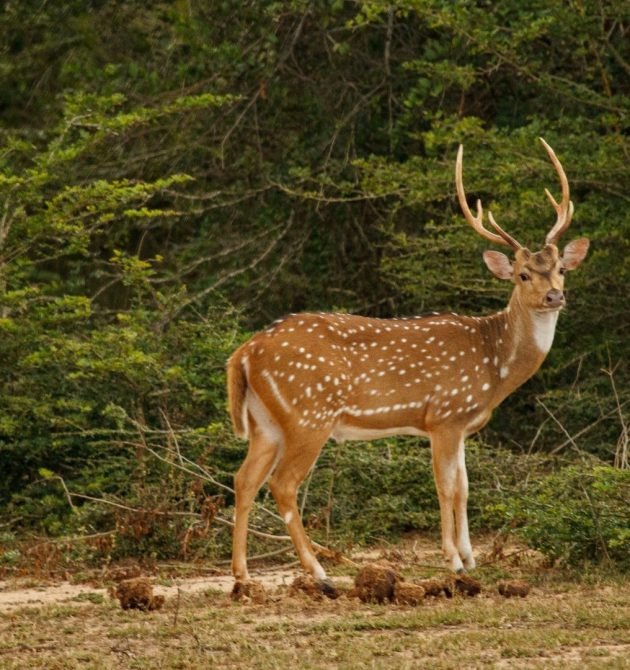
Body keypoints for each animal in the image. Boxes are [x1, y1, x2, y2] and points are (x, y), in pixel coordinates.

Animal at [226, 138, 589, 594]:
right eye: (523, 275)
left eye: (559, 269)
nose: (554, 296)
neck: (494, 365)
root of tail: (244, 353)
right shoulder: (444, 415)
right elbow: (446, 486)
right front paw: (454, 561)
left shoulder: (463, 424)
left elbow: (465, 486)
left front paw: (471, 557)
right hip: (309, 414)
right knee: (283, 484)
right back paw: (320, 573)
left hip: (265, 422)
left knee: (243, 480)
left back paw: (242, 575)